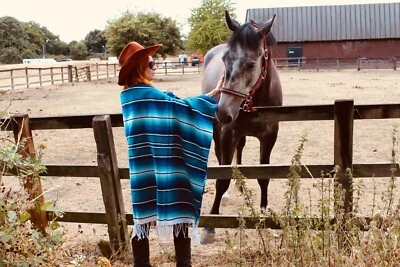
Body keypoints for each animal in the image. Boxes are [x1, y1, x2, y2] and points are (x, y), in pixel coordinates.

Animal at [200, 11, 282, 244]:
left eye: (252, 64)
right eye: (225, 60)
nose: (223, 112)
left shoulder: (269, 136)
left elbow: (264, 176)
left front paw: (264, 216)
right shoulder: (228, 133)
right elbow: (222, 178)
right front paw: (210, 226)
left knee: (241, 150)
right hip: (218, 133)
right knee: (220, 158)